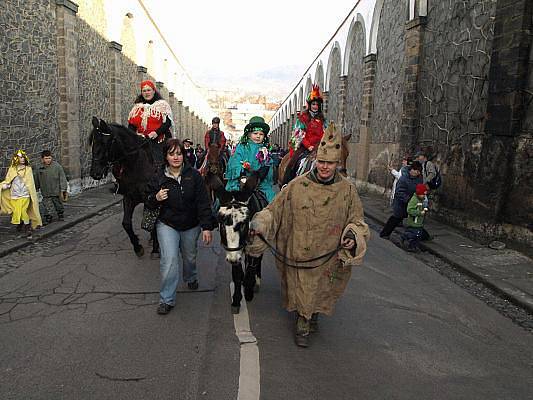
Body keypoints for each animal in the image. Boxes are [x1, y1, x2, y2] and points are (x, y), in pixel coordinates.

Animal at [89, 117, 158, 258]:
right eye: (93, 142)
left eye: (105, 143)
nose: (95, 173)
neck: (135, 164)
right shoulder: (129, 197)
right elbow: (126, 223)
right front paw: (138, 247)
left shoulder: (150, 198)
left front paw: (155, 248)